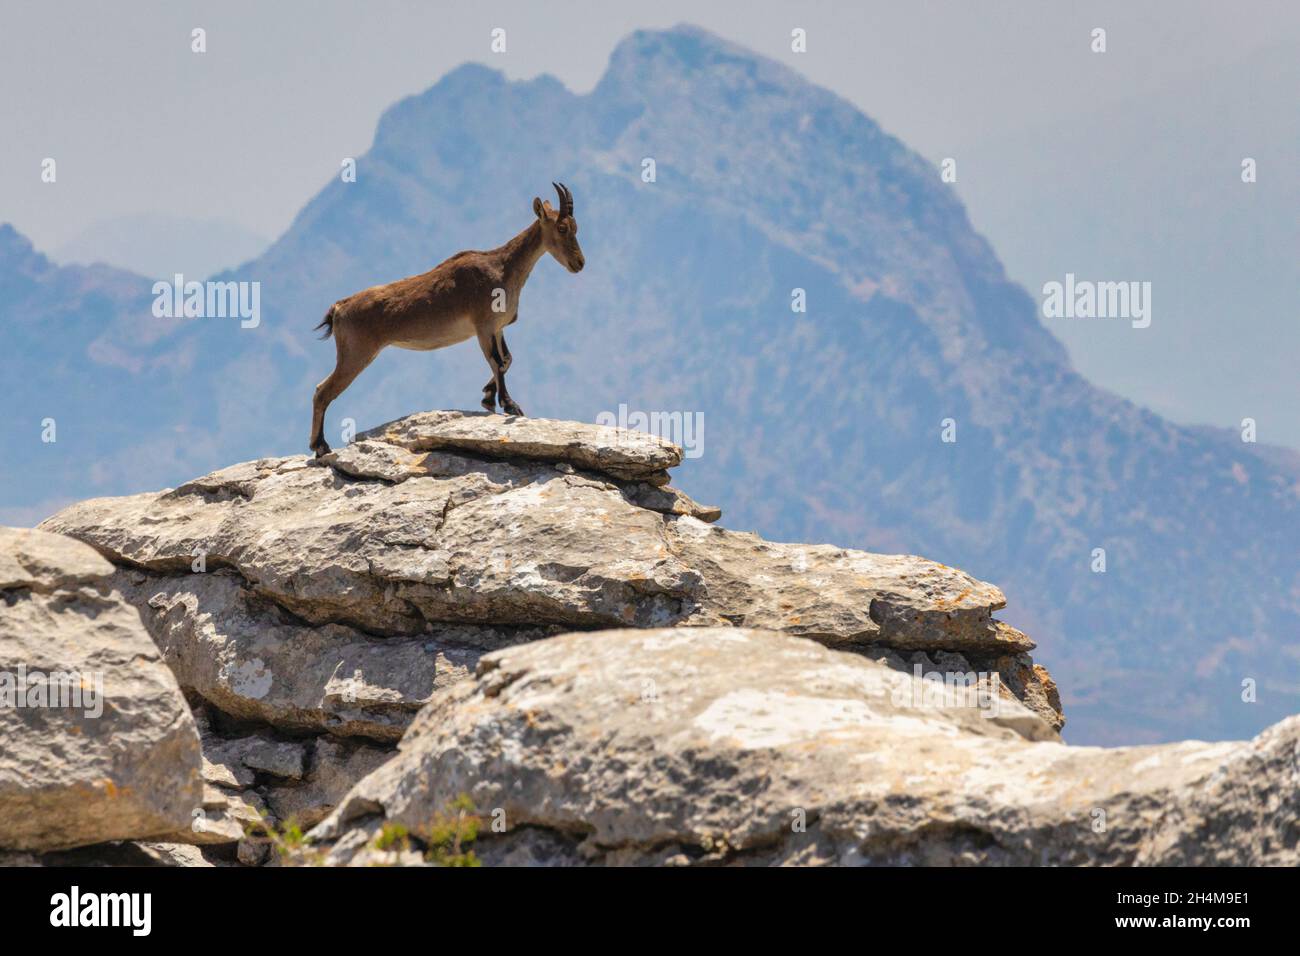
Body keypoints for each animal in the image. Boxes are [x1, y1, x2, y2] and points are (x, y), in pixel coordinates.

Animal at [309, 182, 585, 457]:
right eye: (561, 227)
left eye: (576, 226)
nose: (579, 263)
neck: (503, 267)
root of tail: (339, 307)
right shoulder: (483, 327)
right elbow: (496, 362)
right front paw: (509, 405)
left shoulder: (497, 329)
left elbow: (506, 360)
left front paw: (487, 396)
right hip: (356, 354)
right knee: (323, 391)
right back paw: (320, 446)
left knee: (321, 388)